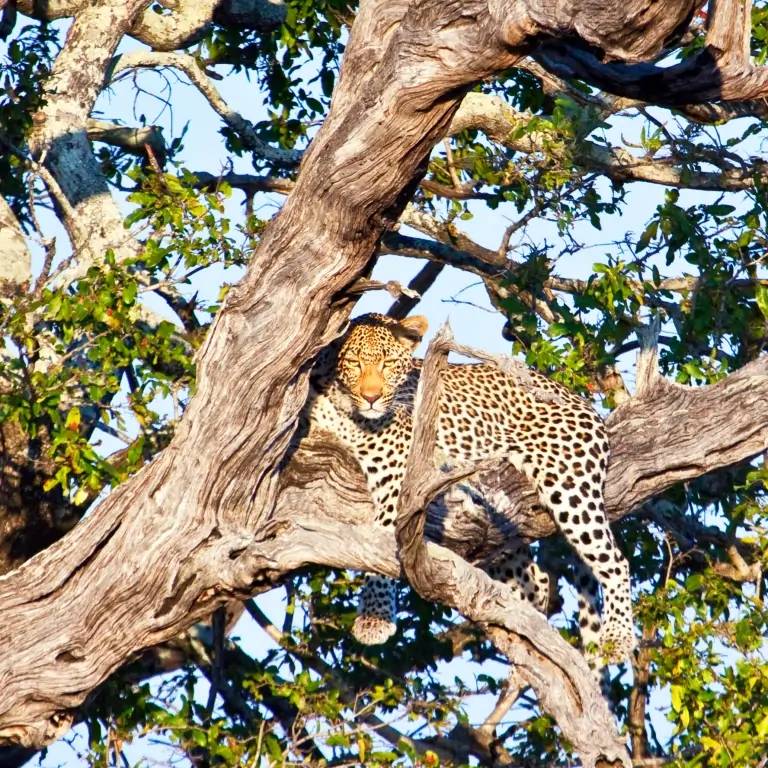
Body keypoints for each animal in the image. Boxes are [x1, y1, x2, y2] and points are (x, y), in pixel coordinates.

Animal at [308, 312, 636, 664]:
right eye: (354, 363)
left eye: (389, 363)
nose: (371, 397)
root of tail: (579, 400)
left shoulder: (397, 474)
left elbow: (381, 547)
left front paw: (374, 616)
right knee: (537, 581)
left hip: (569, 486)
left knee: (614, 561)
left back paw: (619, 639)